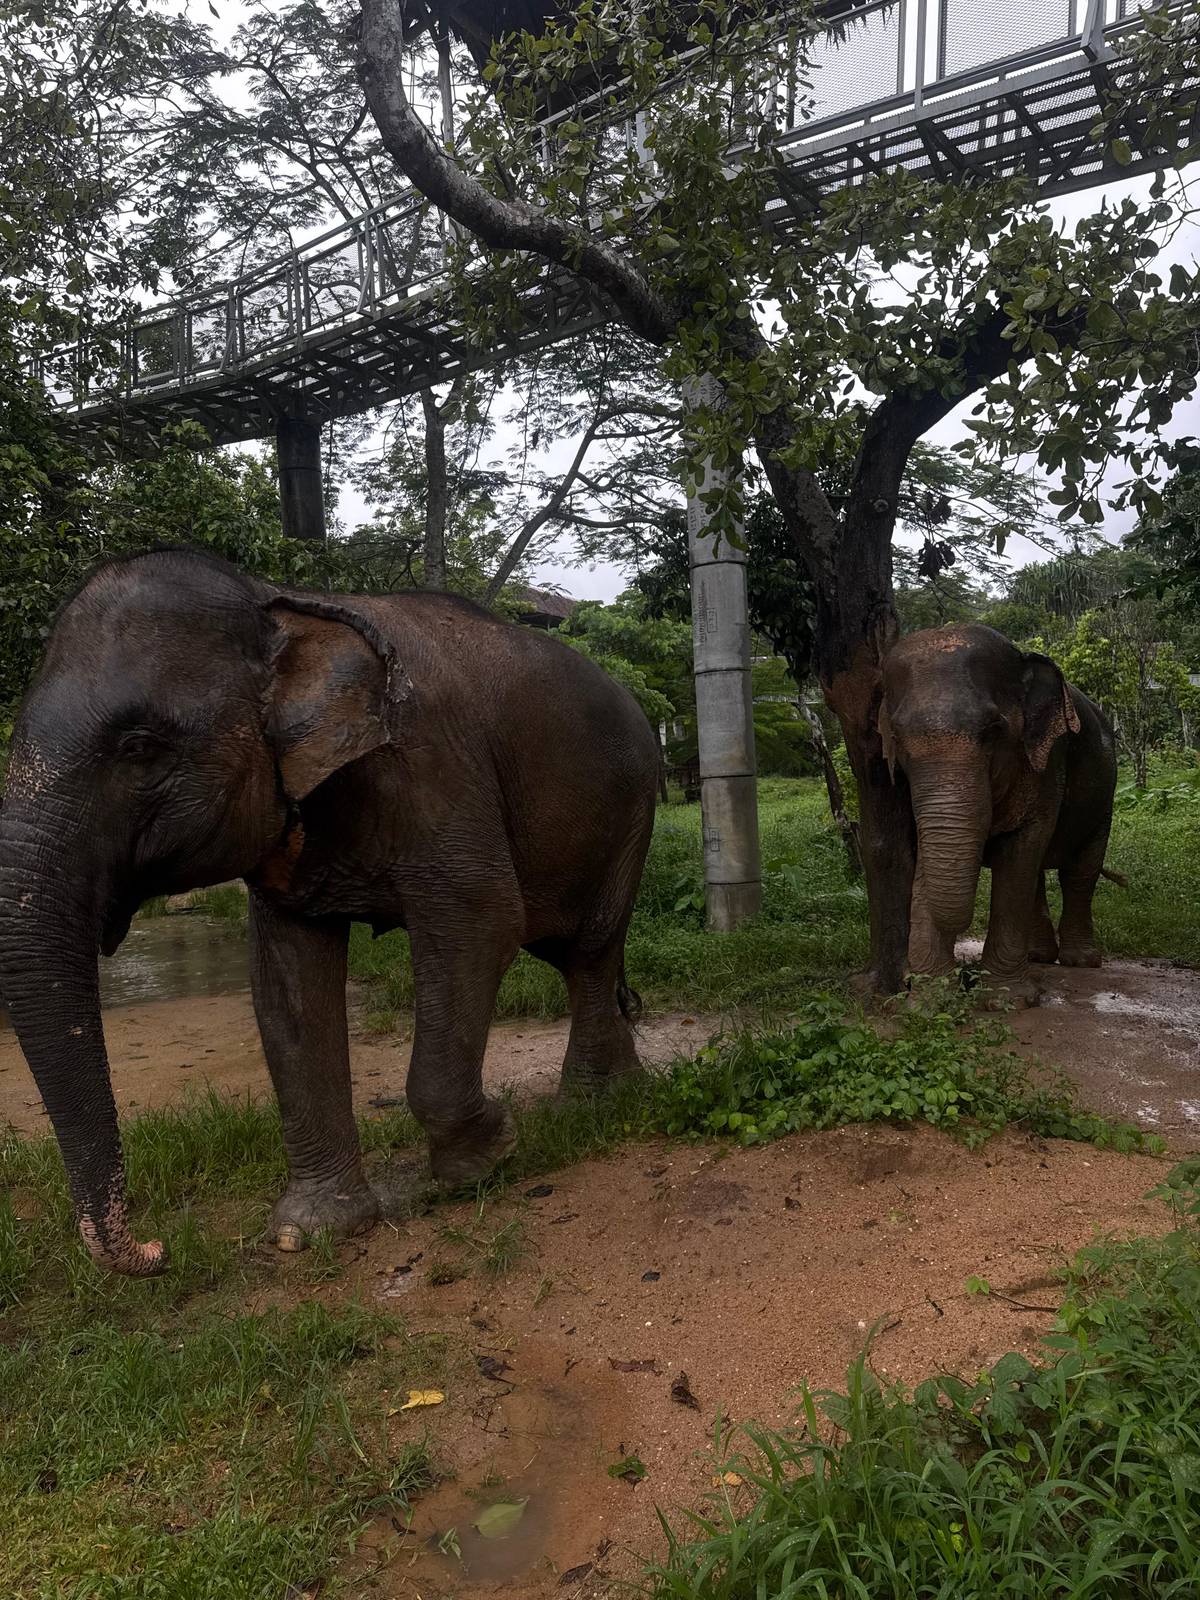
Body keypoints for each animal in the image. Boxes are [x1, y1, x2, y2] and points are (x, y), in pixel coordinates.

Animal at [0, 549, 659, 1276]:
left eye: (139, 746)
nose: (157, 1247)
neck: (278, 601)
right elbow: (286, 981)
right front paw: (308, 1233)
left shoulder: (434, 767)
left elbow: (481, 921)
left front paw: (485, 1161)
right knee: (569, 950)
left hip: (633, 803)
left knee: (588, 945)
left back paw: (593, 1104)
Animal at [879, 623, 1117, 1003]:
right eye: (898, 739)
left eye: (993, 730)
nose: (964, 974)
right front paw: (928, 1001)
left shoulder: (1046, 761)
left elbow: (1020, 852)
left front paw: (1008, 999)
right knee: (1038, 876)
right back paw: (1038, 956)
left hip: (1105, 796)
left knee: (1079, 873)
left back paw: (1080, 961)